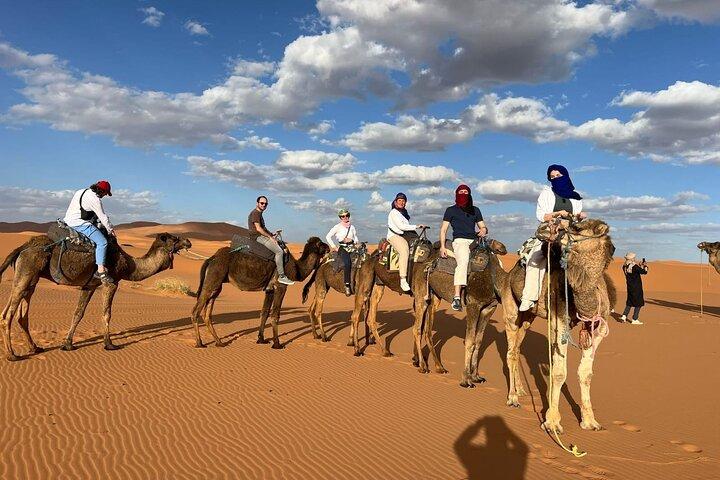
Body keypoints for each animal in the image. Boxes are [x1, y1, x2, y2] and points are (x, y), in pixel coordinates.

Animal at [0, 232, 191, 360]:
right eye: (174, 238)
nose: (188, 242)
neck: (128, 264)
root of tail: (22, 248)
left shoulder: (89, 286)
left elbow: (78, 313)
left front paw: (68, 344)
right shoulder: (111, 282)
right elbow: (106, 314)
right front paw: (109, 344)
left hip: (30, 278)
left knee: (20, 314)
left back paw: (35, 348)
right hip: (27, 271)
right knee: (8, 315)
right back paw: (12, 355)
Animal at [190, 237, 329, 349]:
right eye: (320, 243)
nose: (328, 247)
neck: (296, 268)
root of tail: (211, 258)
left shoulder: (269, 290)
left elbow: (264, 313)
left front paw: (261, 339)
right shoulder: (281, 286)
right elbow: (275, 314)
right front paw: (277, 344)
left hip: (217, 285)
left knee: (207, 313)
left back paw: (219, 342)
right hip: (214, 277)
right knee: (196, 311)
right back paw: (199, 343)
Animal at [410, 239, 508, 387]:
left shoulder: (489, 308)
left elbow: (478, 341)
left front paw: (476, 377)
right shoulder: (473, 305)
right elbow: (470, 341)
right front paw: (466, 380)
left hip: (434, 297)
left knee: (427, 330)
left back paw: (439, 367)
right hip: (421, 295)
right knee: (417, 328)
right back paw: (422, 366)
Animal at [497, 219, 616, 434]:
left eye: (576, 227)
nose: (545, 228)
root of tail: (508, 275)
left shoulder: (599, 328)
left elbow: (586, 373)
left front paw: (590, 421)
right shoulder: (558, 319)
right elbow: (559, 372)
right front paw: (552, 422)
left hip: (528, 317)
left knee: (517, 348)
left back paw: (521, 390)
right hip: (510, 305)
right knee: (510, 350)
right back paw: (513, 398)